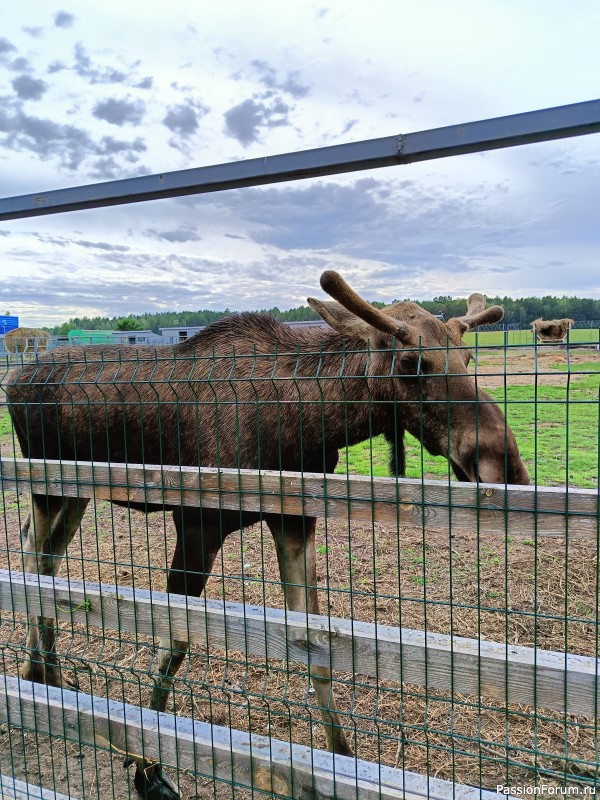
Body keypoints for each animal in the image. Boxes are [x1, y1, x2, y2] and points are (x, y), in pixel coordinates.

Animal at [7, 272, 528, 796]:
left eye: (467, 358)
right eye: (408, 362)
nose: (505, 467)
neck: (309, 426)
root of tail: (14, 379)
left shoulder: (296, 520)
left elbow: (317, 647)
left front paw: (343, 760)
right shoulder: (196, 522)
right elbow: (174, 643)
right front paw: (147, 767)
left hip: (75, 490)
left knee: (44, 557)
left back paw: (45, 672)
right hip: (46, 484)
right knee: (33, 554)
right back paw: (39, 670)